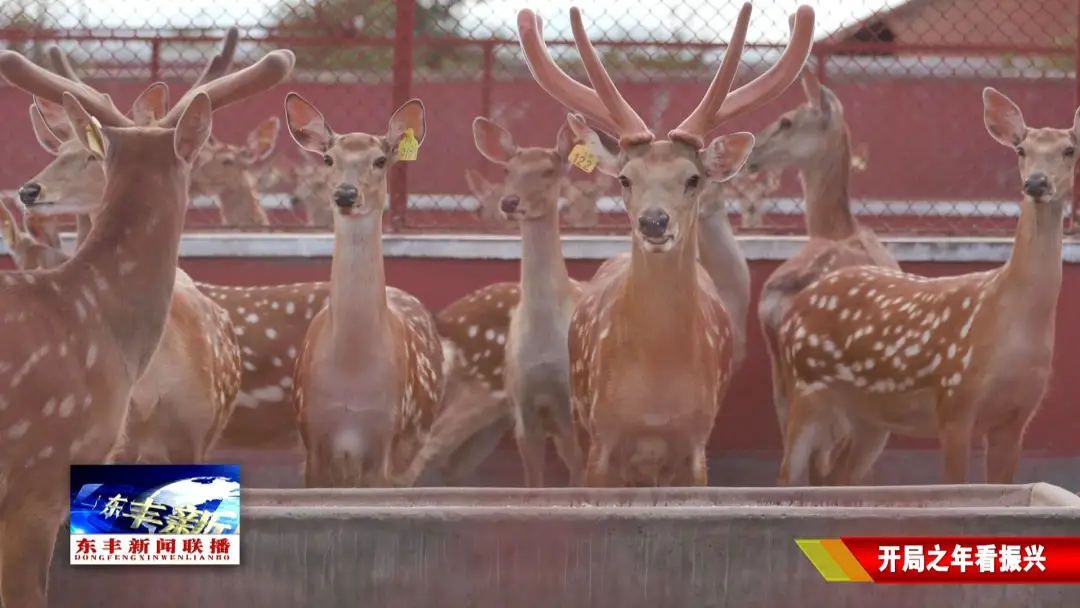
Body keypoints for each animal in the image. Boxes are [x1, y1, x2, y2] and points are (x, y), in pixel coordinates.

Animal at [518, 1, 812, 485]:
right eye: (624, 178)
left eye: (693, 178)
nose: (654, 221)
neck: (654, 401)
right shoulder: (602, 438)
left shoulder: (695, 446)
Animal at [777, 88, 1071, 488]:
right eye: (1021, 150)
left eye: (1070, 150)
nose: (1037, 184)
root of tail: (796, 306)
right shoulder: (954, 401)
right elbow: (954, 485)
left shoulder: (1017, 418)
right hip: (807, 386)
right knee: (786, 475)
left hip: (868, 417)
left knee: (835, 478)